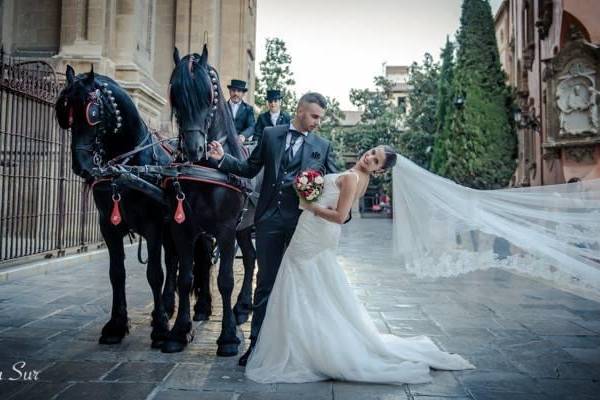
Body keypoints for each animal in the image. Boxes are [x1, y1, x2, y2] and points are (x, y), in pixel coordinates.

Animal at [54, 65, 178, 346]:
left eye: (92, 113)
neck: (128, 167)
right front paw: (117, 325)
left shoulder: (154, 226)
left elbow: (155, 272)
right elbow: (116, 273)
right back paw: (167, 305)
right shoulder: (108, 226)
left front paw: (161, 327)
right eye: (65, 112)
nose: (81, 165)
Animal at [162, 45, 248, 354]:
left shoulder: (226, 230)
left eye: (208, 95)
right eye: (175, 93)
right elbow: (185, 278)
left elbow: (225, 279)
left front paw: (229, 337)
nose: (195, 149)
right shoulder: (182, 228)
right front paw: (178, 331)